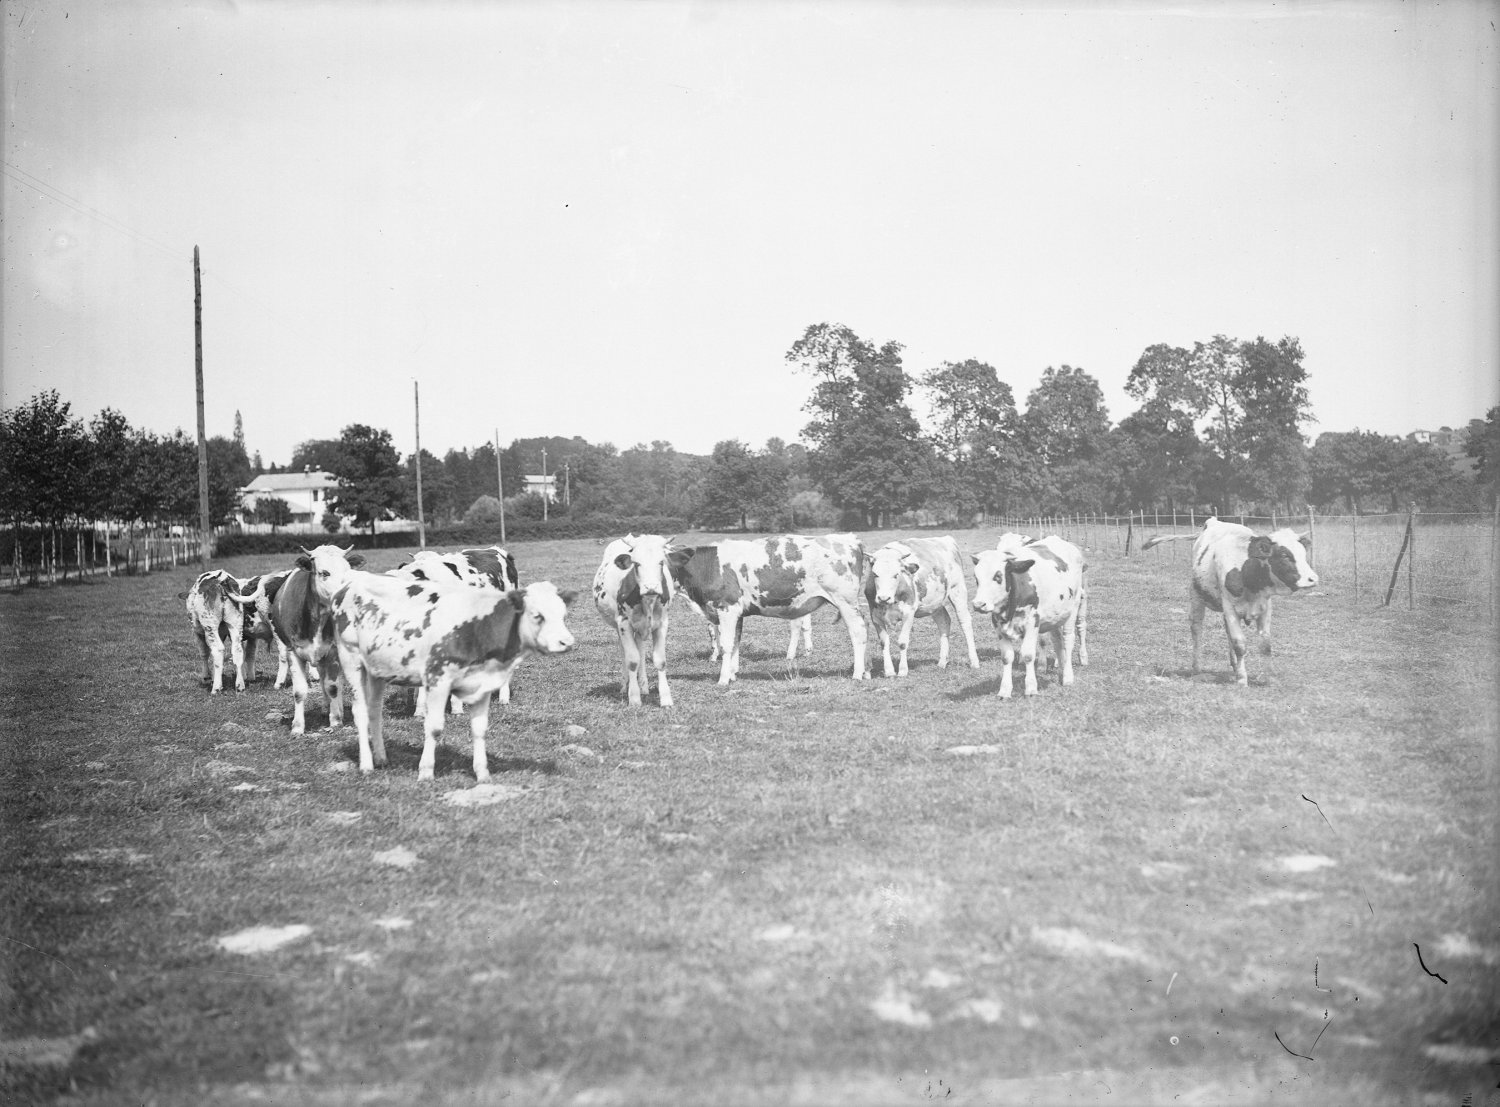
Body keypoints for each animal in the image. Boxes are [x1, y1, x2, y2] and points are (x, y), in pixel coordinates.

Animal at [591, 534, 681, 708]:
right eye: (636, 563)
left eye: (661, 562)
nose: (651, 587)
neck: (647, 601)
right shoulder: (624, 623)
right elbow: (632, 660)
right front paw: (633, 698)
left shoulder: (662, 624)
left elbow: (660, 661)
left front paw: (666, 698)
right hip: (619, 627)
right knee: (625, 652)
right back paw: (624, 686)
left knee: (641, 650)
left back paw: (644, 686)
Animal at [669, 534, 870, 681]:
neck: (709, 566)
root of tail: (850, 539)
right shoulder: (737, 614)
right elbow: (735, 643)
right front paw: (733, 675)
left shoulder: (727, 608)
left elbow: (726, 644)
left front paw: (723, 679)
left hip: (845, 601)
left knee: (858, 632)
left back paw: (857, 674)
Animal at [858, 534, 984, 672]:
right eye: (875, 574)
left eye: (896, 574)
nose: (883, 598)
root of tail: (946, 538)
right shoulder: (875, 615)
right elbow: (883, 642)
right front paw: (889, 671)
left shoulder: (908, 612)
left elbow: (902, 642)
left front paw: (903, 670)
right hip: (935, 603)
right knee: (944, 621)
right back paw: (942, 662)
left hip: (958, 590)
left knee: (965, 622)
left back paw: (974, 661)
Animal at [972, 531, 1092, 693]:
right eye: (976, 578)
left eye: (998, 576)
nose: (978, 604)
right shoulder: (998, 626)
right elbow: (1006, 657)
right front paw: (1004, 690)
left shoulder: (1032, 622)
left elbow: (1029, 654)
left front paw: (1030, 687)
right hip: (1055, 615)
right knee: (1057, 640)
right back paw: (1060, 668)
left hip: (1075, 606)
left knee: (1071, 637)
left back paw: (1069, 674)